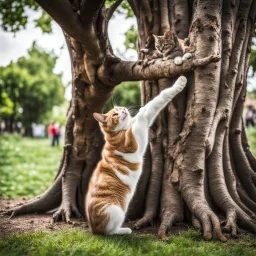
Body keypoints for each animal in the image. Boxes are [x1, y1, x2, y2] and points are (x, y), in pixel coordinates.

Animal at [85, 75, 187, 234]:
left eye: (120, 108)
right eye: (115, 113)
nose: (123, 110)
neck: (118, 133)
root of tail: (93, 228)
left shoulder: (141, 121)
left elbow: (148, 108)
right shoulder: (139, 127)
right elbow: (154, 103)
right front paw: (180, 82)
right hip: (115, 211)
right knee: (109, 231)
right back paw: (125, 230)